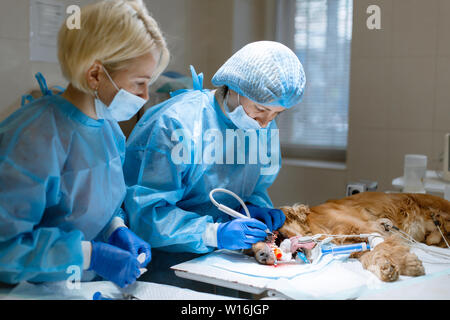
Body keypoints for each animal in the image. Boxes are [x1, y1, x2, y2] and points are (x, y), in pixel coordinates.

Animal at [250, 191, 450, 282]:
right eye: (248, 251)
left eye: (265, 235)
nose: (262, 256)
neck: (314, 224)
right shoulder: (358, 244)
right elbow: (371, 255)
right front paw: (386, 268)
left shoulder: (372, 229)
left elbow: (383, 247)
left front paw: (408, 265)